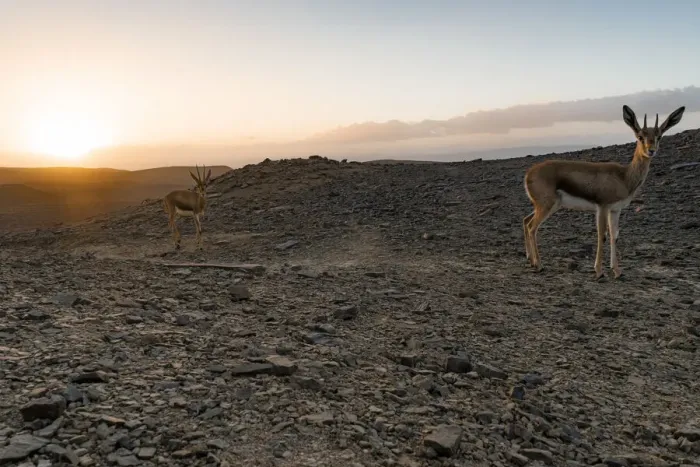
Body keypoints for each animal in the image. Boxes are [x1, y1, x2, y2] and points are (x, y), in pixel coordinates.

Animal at [523, 104, 685, 280]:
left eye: (659, 136)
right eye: (640, 136)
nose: (651, 150)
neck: (624, 177)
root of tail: (528, 174)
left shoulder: (615, 210)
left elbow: (614, 235)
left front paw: (617, 271)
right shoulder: (602, 207)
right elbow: (602, 235)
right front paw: (599, 271)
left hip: (549, 206)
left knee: (526, 221)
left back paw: (530, 260)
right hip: (547, 206)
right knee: (532, 227)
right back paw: (539, 265)